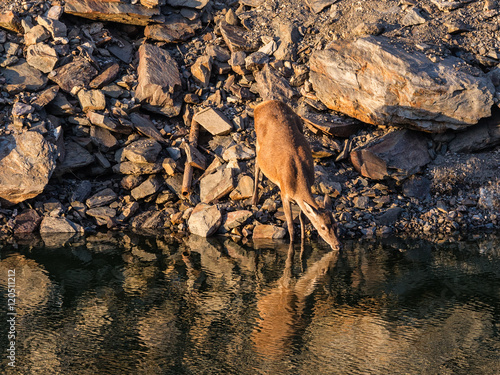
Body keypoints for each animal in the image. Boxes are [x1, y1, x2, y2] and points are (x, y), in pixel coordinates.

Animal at [252, 101, 342, 251]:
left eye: (335, 225)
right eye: (323, 227)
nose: (337, 245)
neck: (298, 181)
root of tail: (261, 105)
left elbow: (302, 217)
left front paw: (303, 240)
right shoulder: (284, 193)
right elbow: (290, 225)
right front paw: (292, 244)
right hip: (257, 139)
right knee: (256, 163)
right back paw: (254, 199)